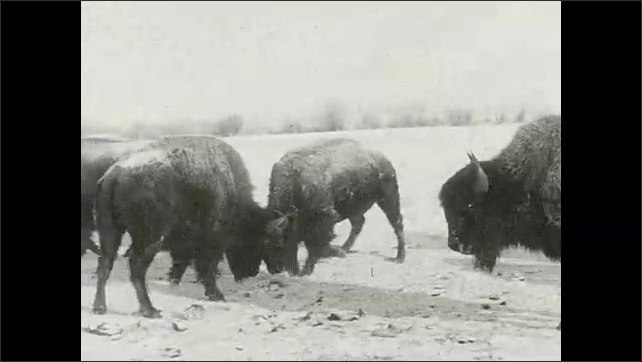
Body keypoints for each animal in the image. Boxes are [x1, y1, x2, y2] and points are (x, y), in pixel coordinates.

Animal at [90, 135, 280, 316]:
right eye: (256, 241)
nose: (251, 272)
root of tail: (115, 175)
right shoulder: (211, 241)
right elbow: (206, 267)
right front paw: (217, 295)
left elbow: (182, 264)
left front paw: (174, 283)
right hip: (149, 239)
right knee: (136, 268)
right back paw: (150, 310)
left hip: (110, 231)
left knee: (105, 264)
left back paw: (100, 307)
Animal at [262, 139, 402, 278]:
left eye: (279, 242)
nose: (275, 270)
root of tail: (382, 158)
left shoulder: (323, 220)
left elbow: (316, 246)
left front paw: (308, 269)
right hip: (353, 208)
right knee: (359, 223)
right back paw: (344, 249)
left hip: (388, 198)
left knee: (397, 223)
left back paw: (399, 258)